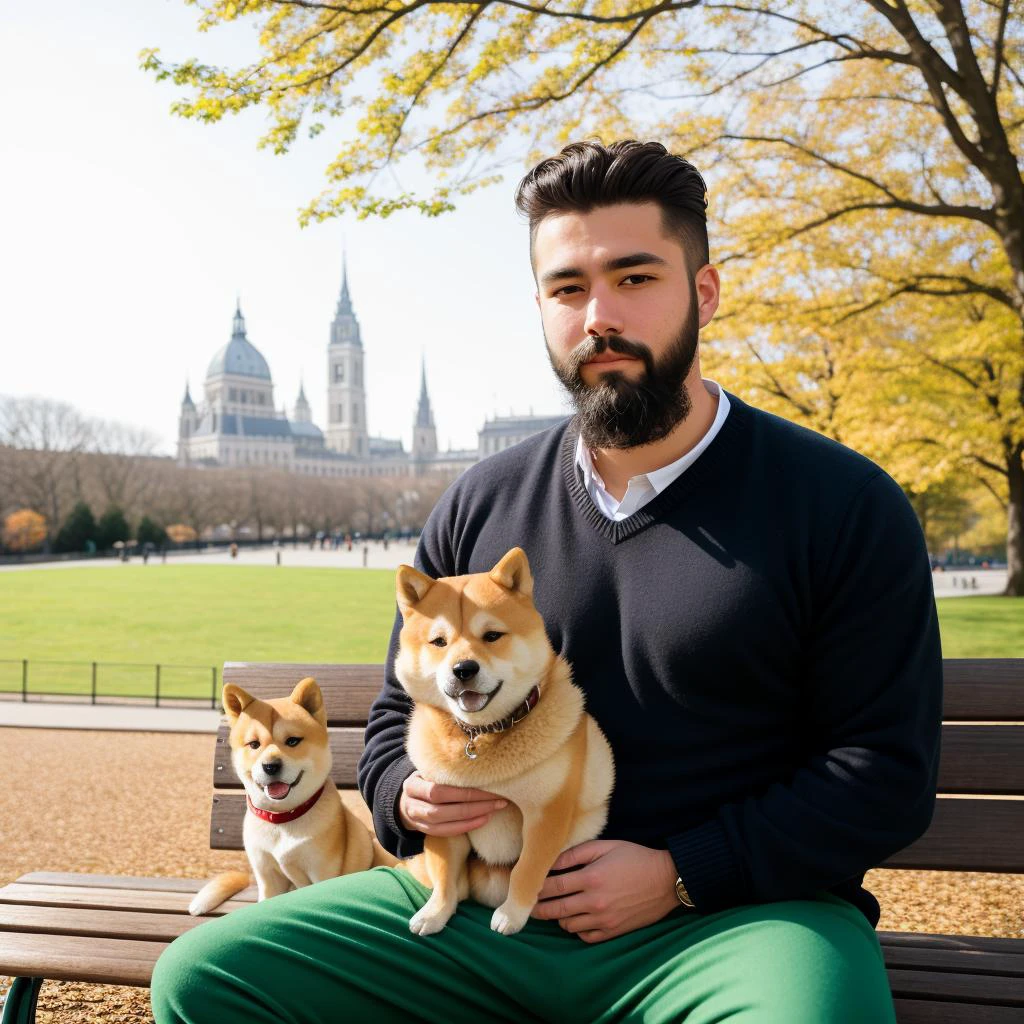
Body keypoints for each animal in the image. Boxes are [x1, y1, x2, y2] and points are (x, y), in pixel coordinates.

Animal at [188, 675, 395, 917]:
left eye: (293, 741)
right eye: (254, 744)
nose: (271, 766)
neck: (283, 820)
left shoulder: (321, 872)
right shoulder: (268, 876)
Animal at [395, 552, 610, 937]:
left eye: (492, 636)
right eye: (439, 642)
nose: (464, 668)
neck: (480, 735)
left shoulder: (546, 813)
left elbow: (527, 868)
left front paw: (513, 913)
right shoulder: (443, 816)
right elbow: (445, 875)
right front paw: (436, 912)